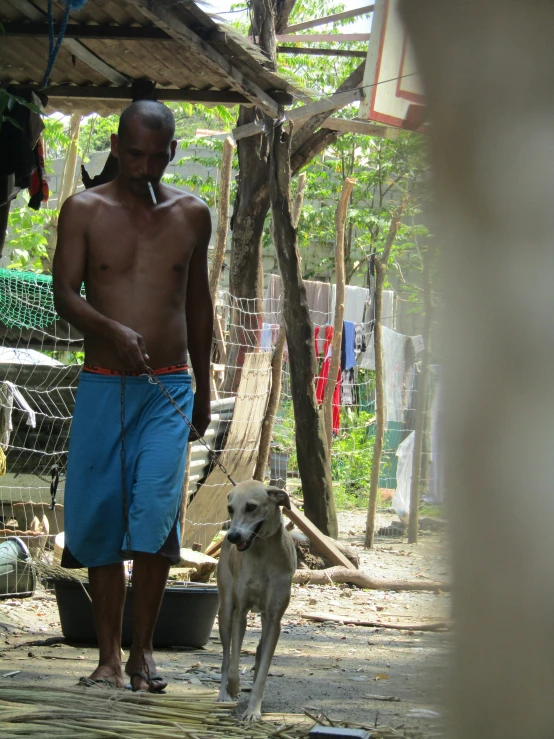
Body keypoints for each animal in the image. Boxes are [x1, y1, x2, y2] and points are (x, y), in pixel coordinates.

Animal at [215, 480, 296, 724]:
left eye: (251, 507)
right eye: (230, 508)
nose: (232, 536)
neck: (262, 552)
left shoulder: (274, 618)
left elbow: (262, 671)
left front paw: (253, 711)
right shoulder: (240, 612)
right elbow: (233, 662)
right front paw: (233, 688)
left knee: (259, 650)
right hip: (225, 610)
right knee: (226, 657)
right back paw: (223, 694)